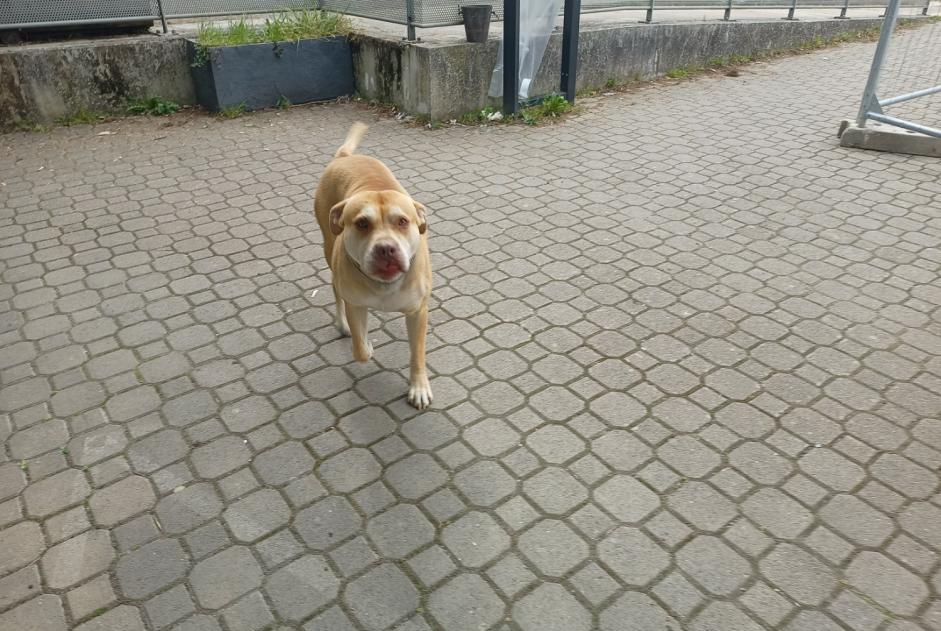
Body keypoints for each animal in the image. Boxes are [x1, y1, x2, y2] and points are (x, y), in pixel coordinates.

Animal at [316, 123, 434, 410]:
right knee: (335, 291)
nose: (385, 248)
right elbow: (359, 349)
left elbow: (417, 353)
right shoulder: (356, 304)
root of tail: (344, 157)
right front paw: (366, 346)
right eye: (361, 223)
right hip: (328, 248)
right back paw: (342, 324)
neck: (384, 286)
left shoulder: (418, 312)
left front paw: (419, 387)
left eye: (402, 221)